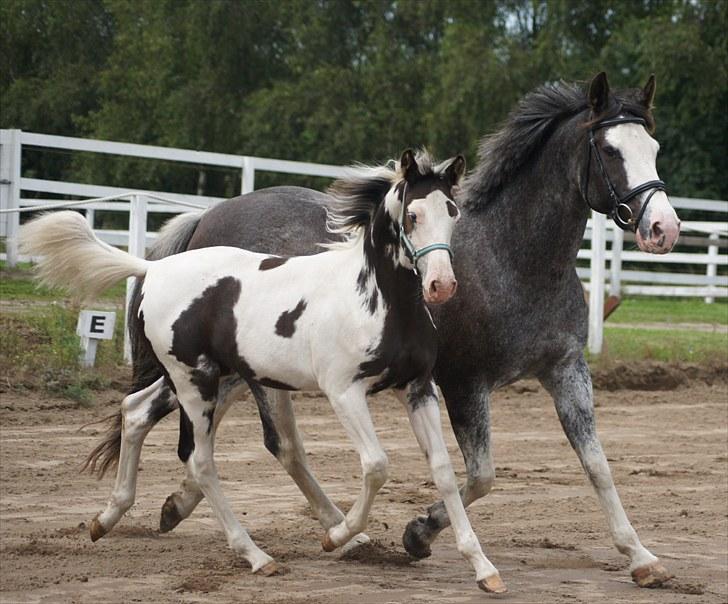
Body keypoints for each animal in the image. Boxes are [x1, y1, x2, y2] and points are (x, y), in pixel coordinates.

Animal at [17, 153, 506, 592]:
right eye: (413, 214)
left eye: (453, 212)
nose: (441, 285)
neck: (378, 299)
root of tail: (154, 266)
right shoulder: (344, 392)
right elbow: (377, 466)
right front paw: (337, 537)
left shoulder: (417, 389)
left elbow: (444, 470)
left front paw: (484, 569)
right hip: (195, 383)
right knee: (201, 461)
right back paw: (256, 556)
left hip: (209, 377)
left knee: (136, 411)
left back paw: (106, 518)